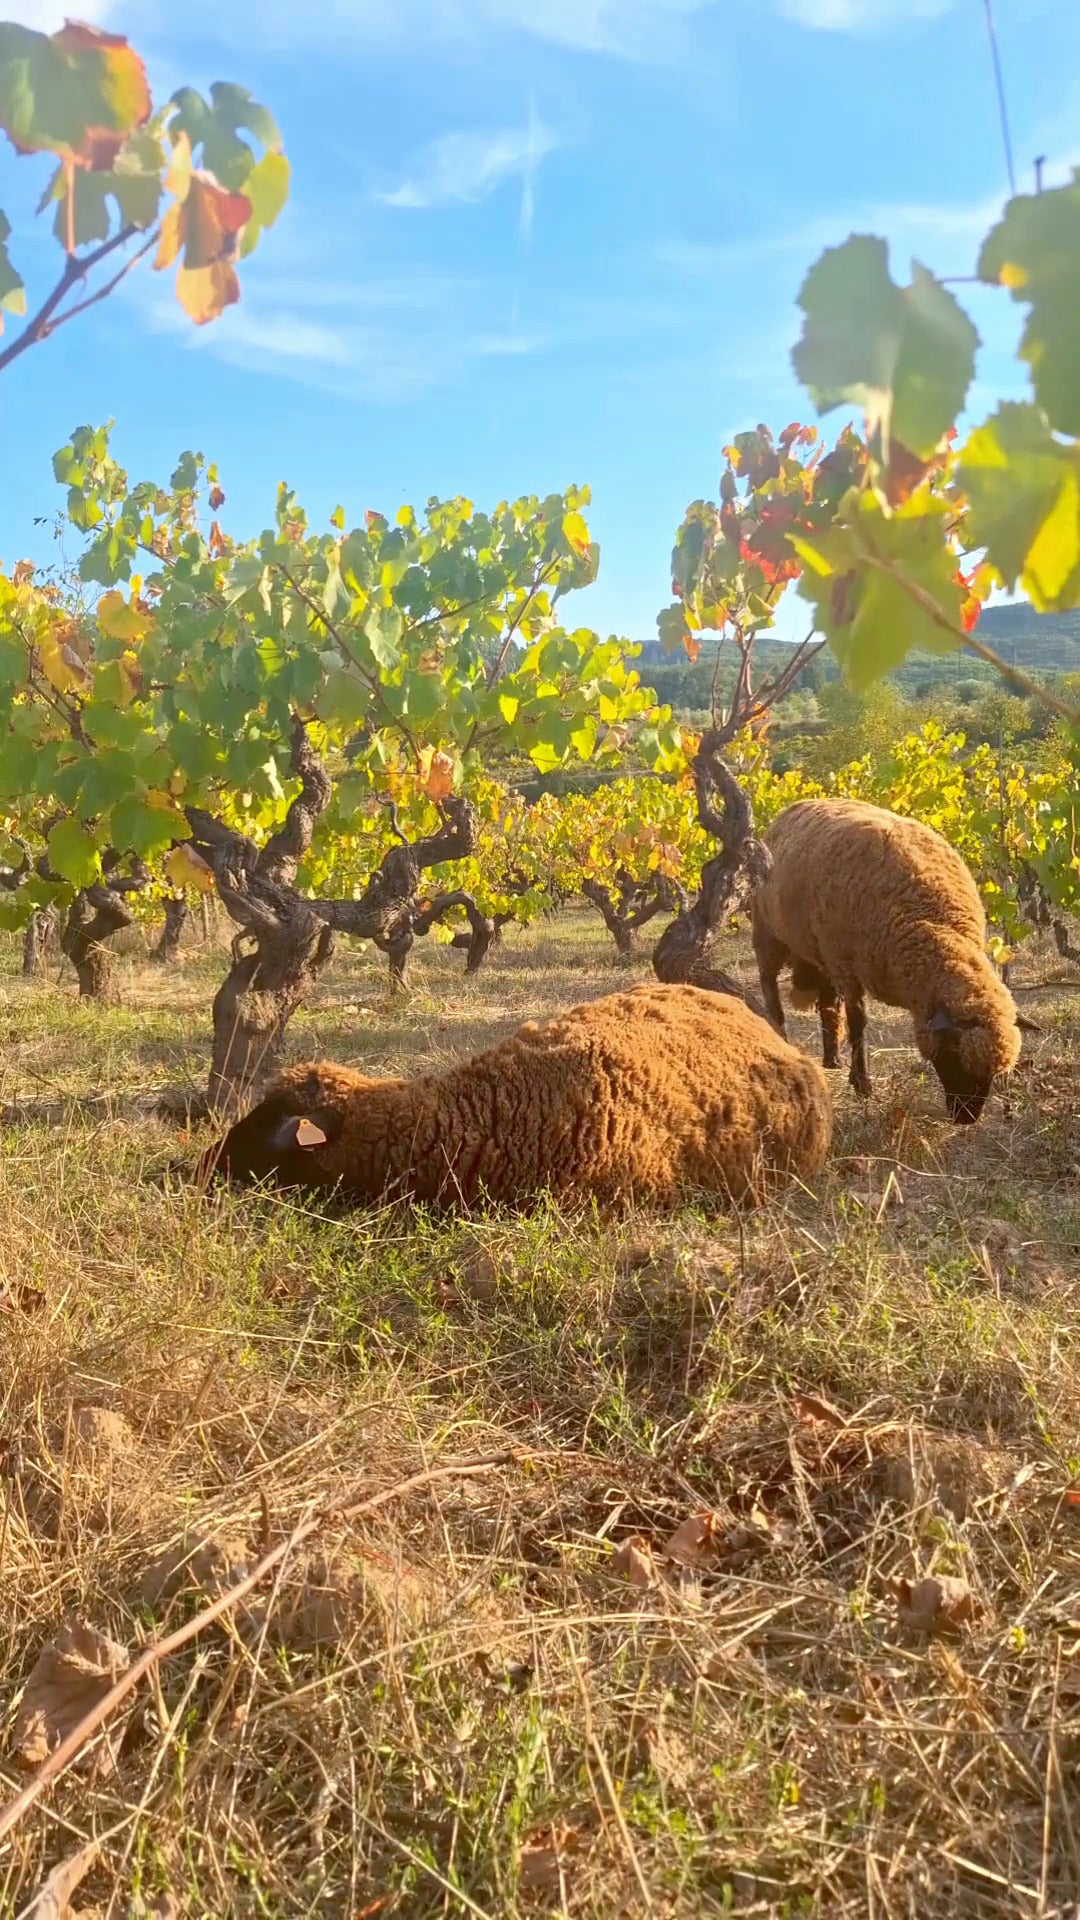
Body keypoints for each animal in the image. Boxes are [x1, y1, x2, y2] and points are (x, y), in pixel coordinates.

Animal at [750, 796, 1037, 1123]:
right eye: (953, 1057)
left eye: (993, 1074)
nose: (966, 1118)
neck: (931, 921)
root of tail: (794, 807)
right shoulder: (846, 964)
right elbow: (858, 1023)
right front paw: (862, 1085)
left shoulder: (839, 960)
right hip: (768, 933)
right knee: (770, 988)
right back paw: (781, 1033)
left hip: (818, 951)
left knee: (827, 1003)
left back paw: (832, 1058)